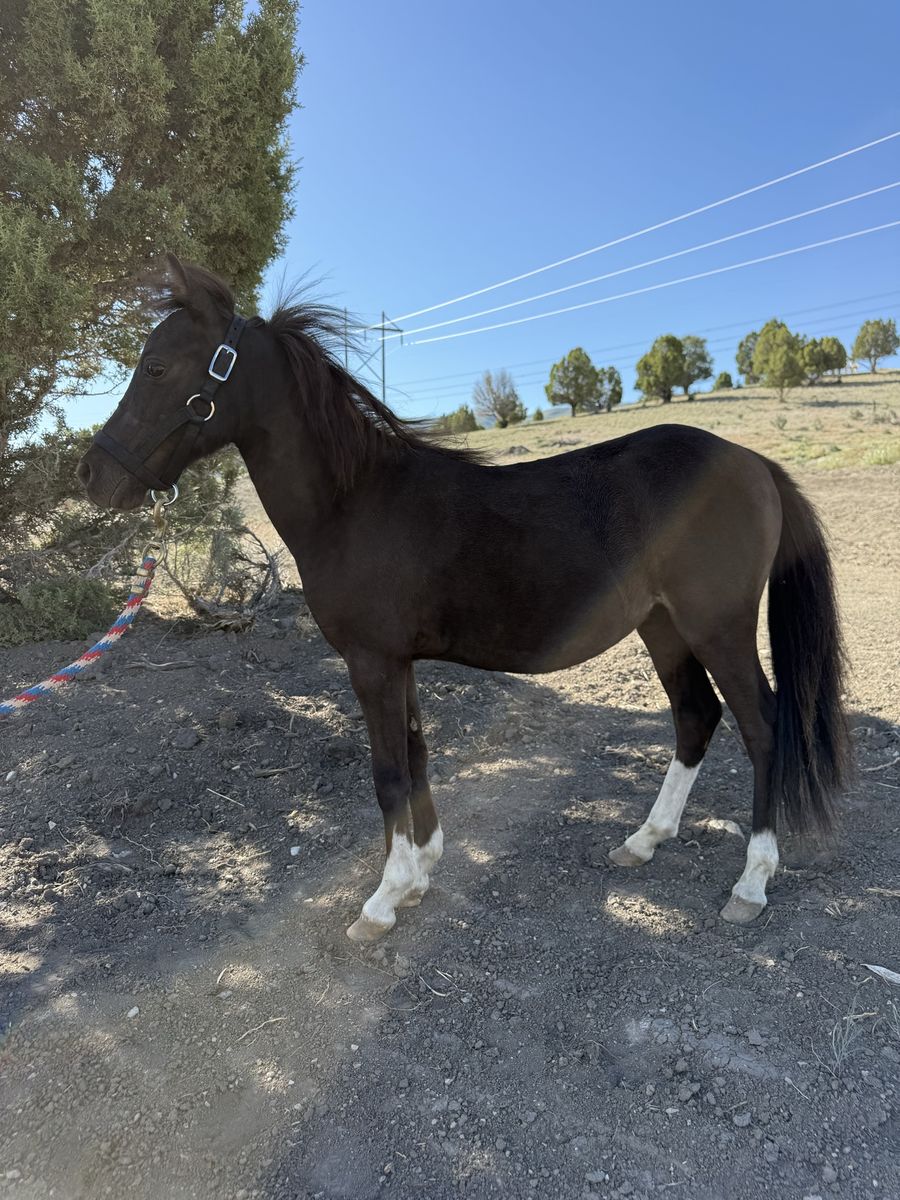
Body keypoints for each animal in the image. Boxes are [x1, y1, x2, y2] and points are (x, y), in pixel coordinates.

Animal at [77, 256, 851, 943]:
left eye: (157, 367)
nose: (92, 476)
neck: (355, 503)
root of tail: (755, 464)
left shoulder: (372, 663)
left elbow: (389, 773)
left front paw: (382, 901)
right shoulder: (398, 664)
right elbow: (417, 759)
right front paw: (420, 874)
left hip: (717, 627)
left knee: (763, 728)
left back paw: (751, 883)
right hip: (663, 627)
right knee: (696, 717)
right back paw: (644, 839)